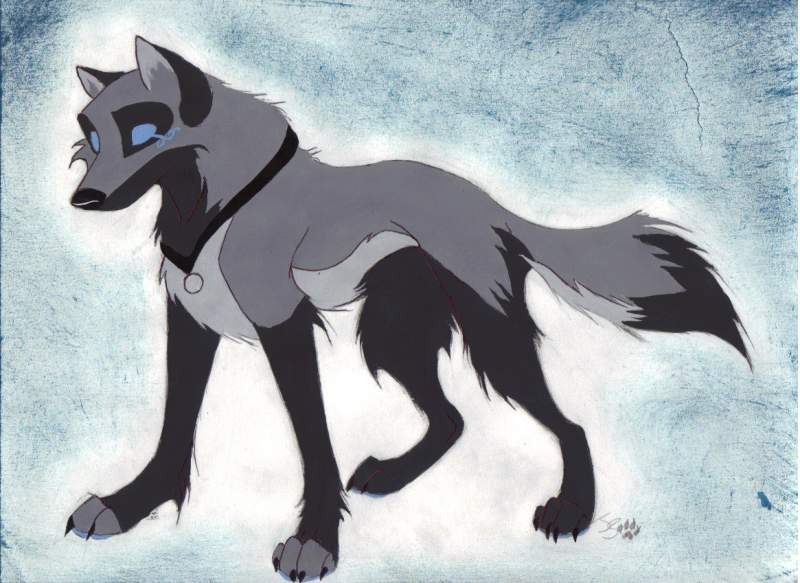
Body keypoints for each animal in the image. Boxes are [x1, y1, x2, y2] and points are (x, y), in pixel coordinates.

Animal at [66, 37, 748, 581]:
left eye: (144, 132)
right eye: (92, 138)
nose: (83, 198)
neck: (216, 209)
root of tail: (490, 204)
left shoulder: (282, 325)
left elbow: (313, 443)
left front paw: (315, 542)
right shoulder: (191, 324)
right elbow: (174, 428)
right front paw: (131, 505)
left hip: (488, 342)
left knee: (567, 424)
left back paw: (572, 509)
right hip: (393, 338)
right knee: (452, 420)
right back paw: (393, 477)